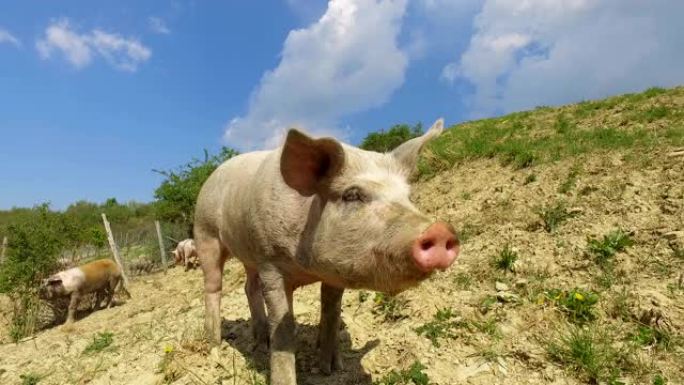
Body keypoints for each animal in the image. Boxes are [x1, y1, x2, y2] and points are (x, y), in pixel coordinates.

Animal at [194, 118, 460, 384]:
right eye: (352, 195)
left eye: (408, 197)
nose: (440, 230)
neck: (307, 266)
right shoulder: (270, 261)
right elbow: (283, 329)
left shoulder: (334, 273)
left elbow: (331, 313)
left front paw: (332, 368)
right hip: (205, 233)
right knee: (213, 285)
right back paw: (214, 344)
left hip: (248, 255)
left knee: (249, 287)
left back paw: (260, 341)